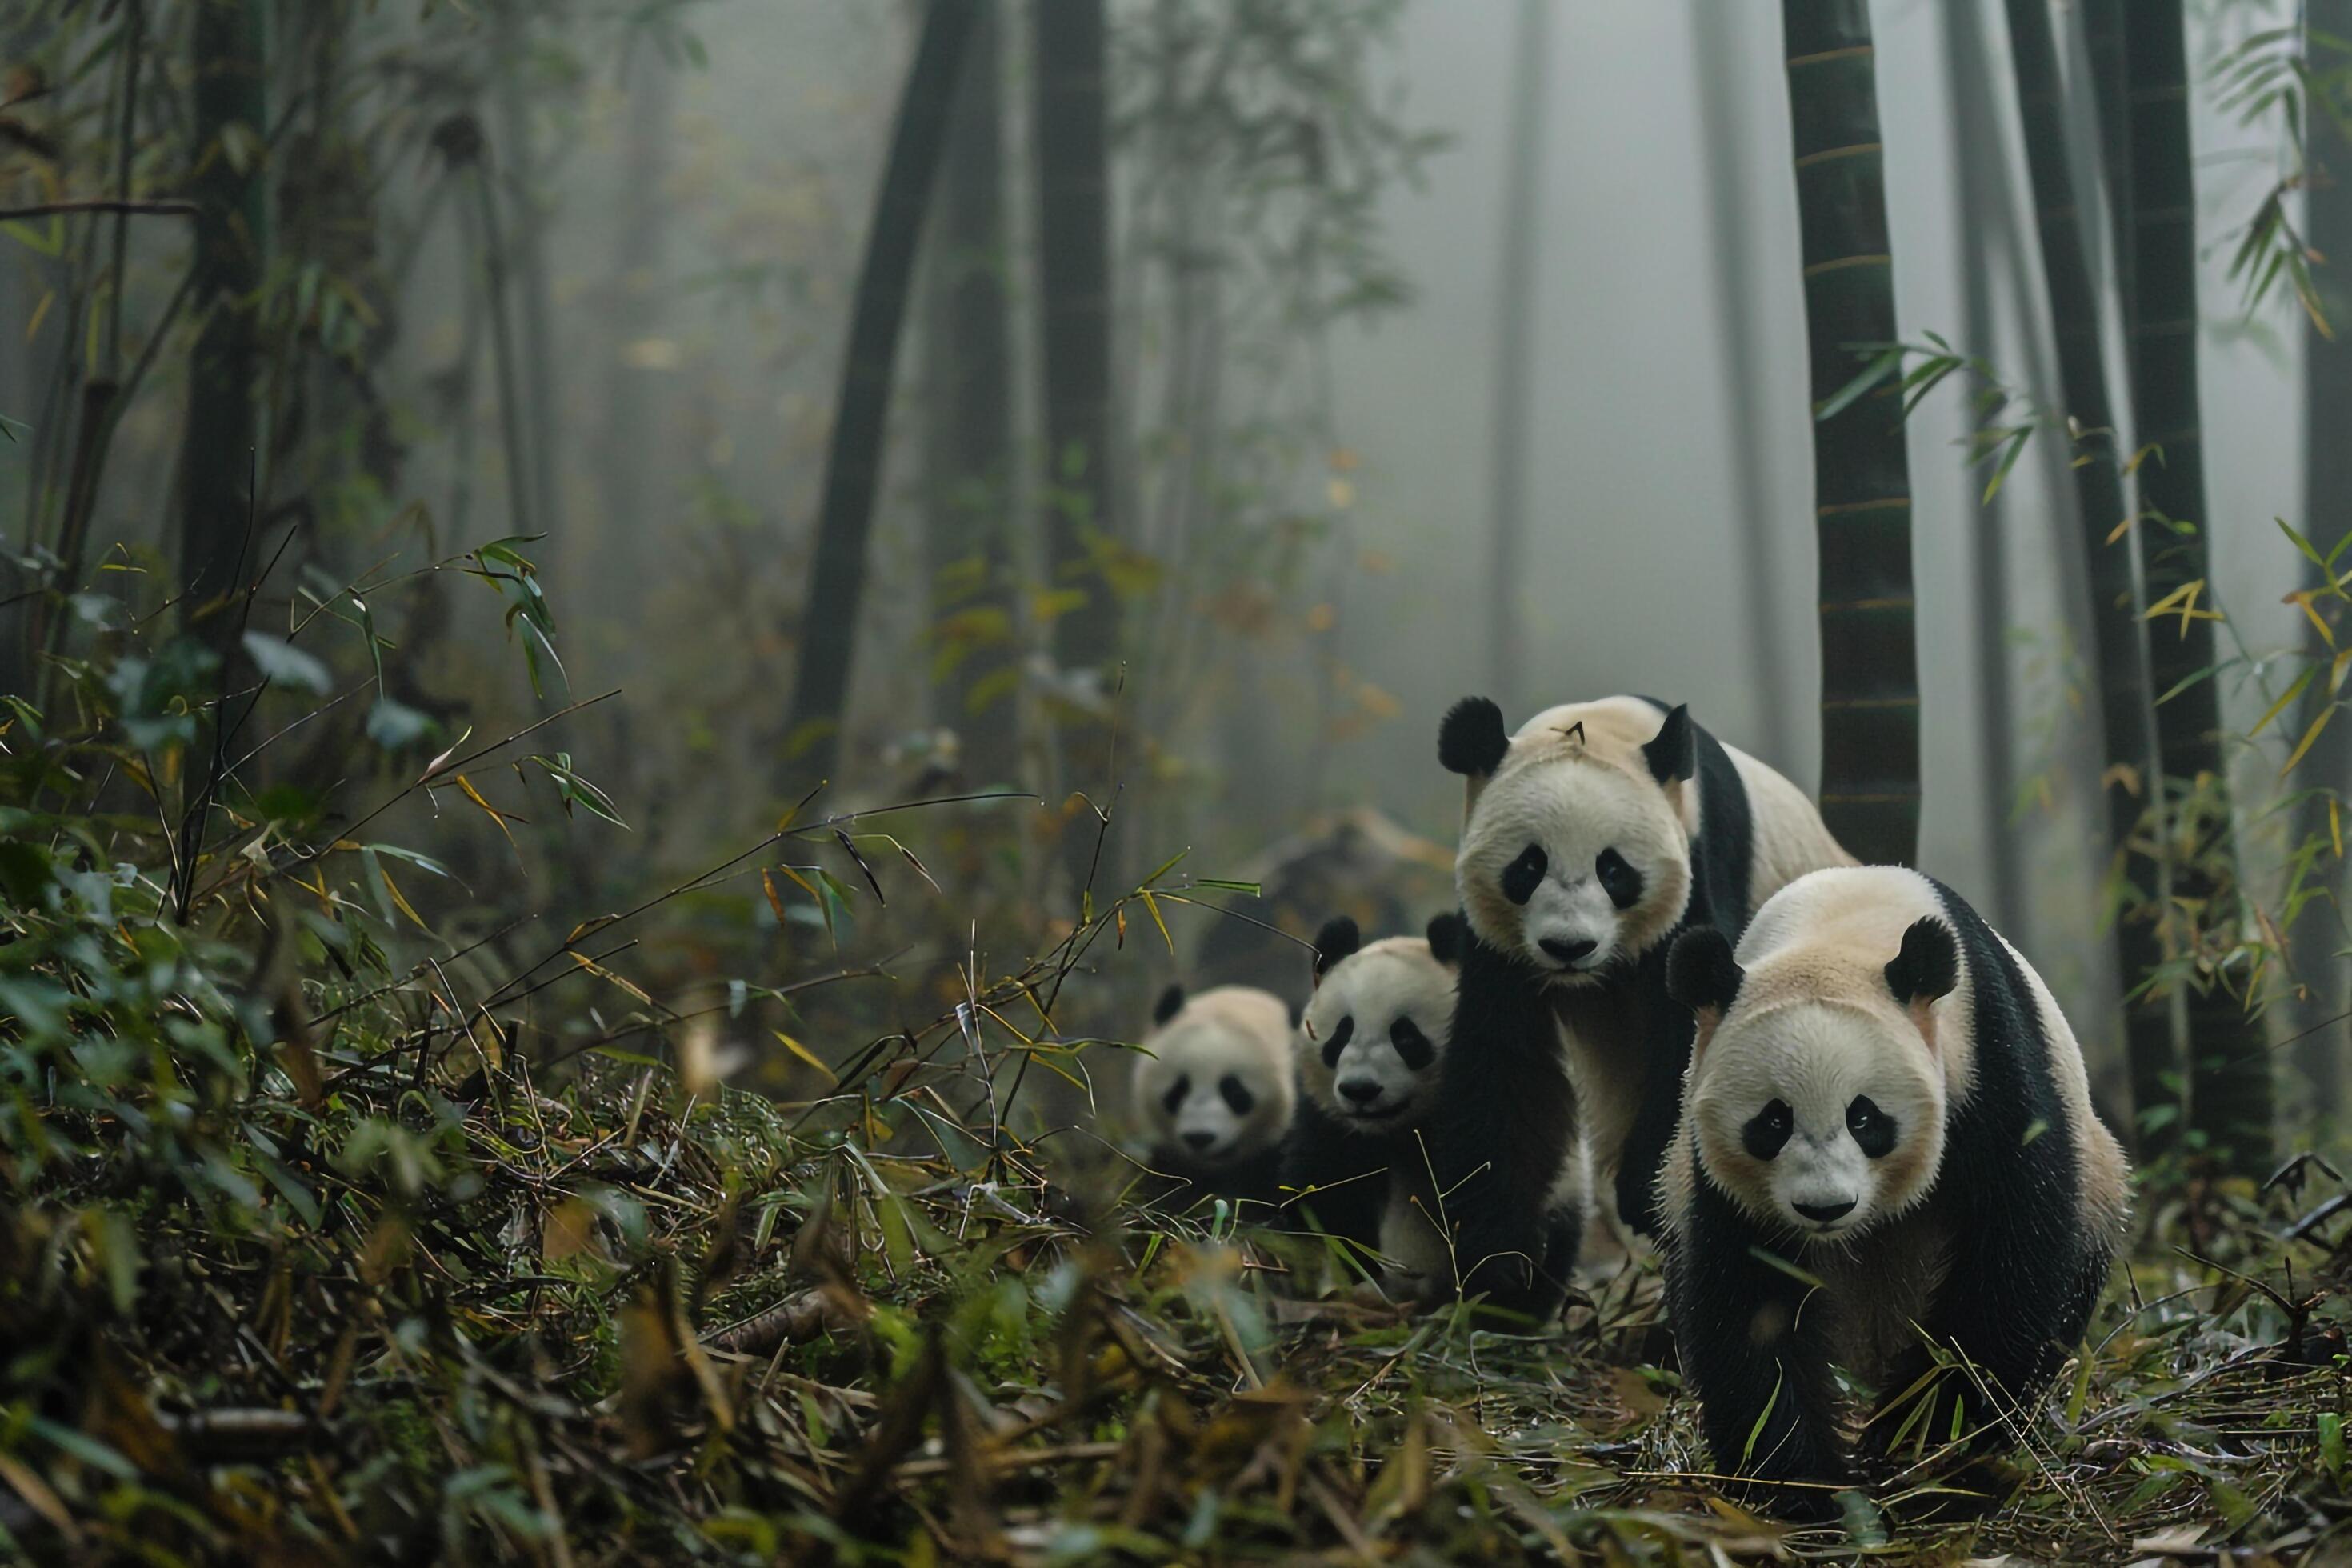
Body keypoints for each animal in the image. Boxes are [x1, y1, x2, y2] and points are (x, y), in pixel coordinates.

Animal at [1411, 690, 1853, 1316]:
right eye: (1528, 866)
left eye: (1613, 868)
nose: (1568, 947)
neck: (1601, 724)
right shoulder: (1498, 950)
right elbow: (1506, 1068)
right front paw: (1498, 1262)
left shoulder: (1698, 876)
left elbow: (1692, 1042)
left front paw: (1645, 1192)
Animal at [1655, 870, 2135, 1523]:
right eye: (1772, 1122)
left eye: (1864, 1117)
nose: (1825, 1207)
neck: (1838, 928)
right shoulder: (1714, 1170)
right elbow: (1750, 1300)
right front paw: (1801, 1481)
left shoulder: (1988, 1060)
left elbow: (2012, 1246)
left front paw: (1929, 1439)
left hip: (2099, 1176)